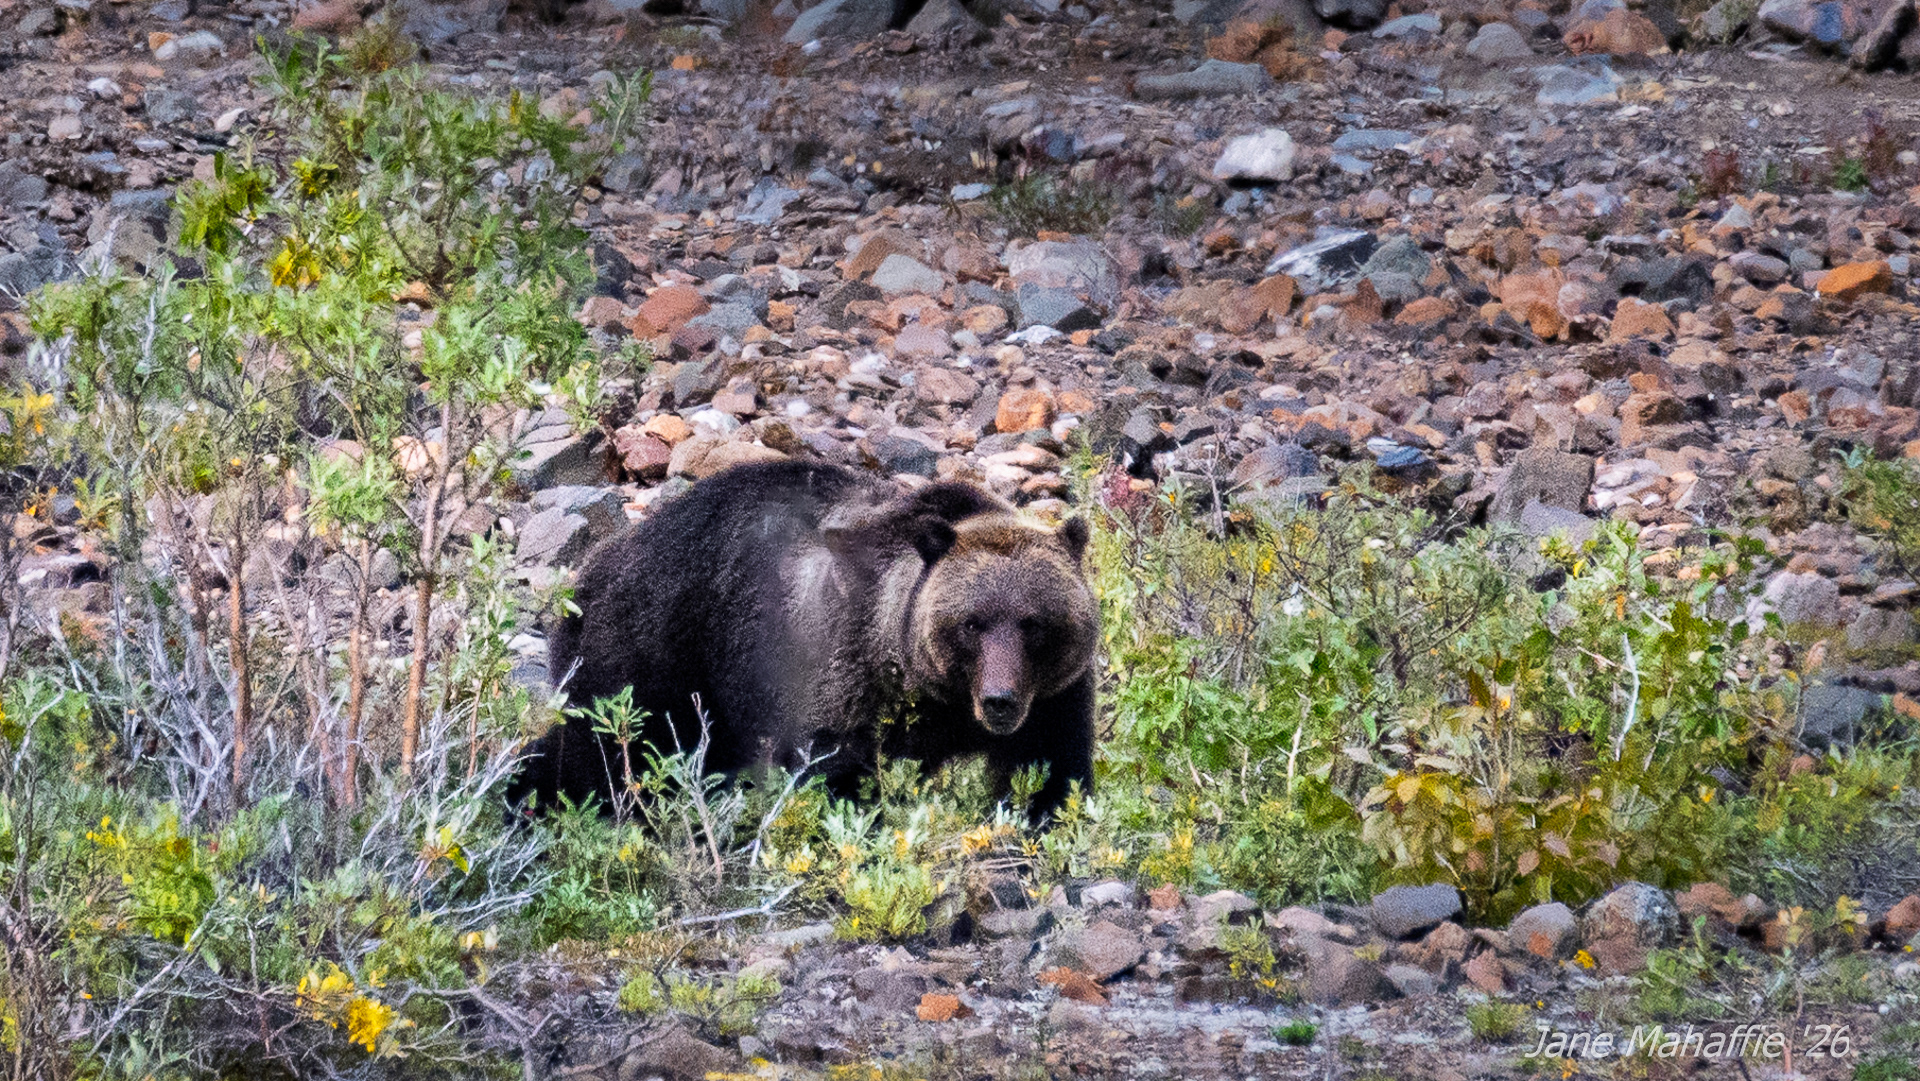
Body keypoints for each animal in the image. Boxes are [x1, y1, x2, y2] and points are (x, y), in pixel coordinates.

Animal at [504, 459, 1099, 821]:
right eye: (972, 623)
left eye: (1034, 623)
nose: (999, 701)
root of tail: (584, 577)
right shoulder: (843, 670)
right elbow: (837, 771)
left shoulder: (1053, 696)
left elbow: (1052, 769)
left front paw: (1043, 814)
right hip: (655, 649)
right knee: (600, 753)